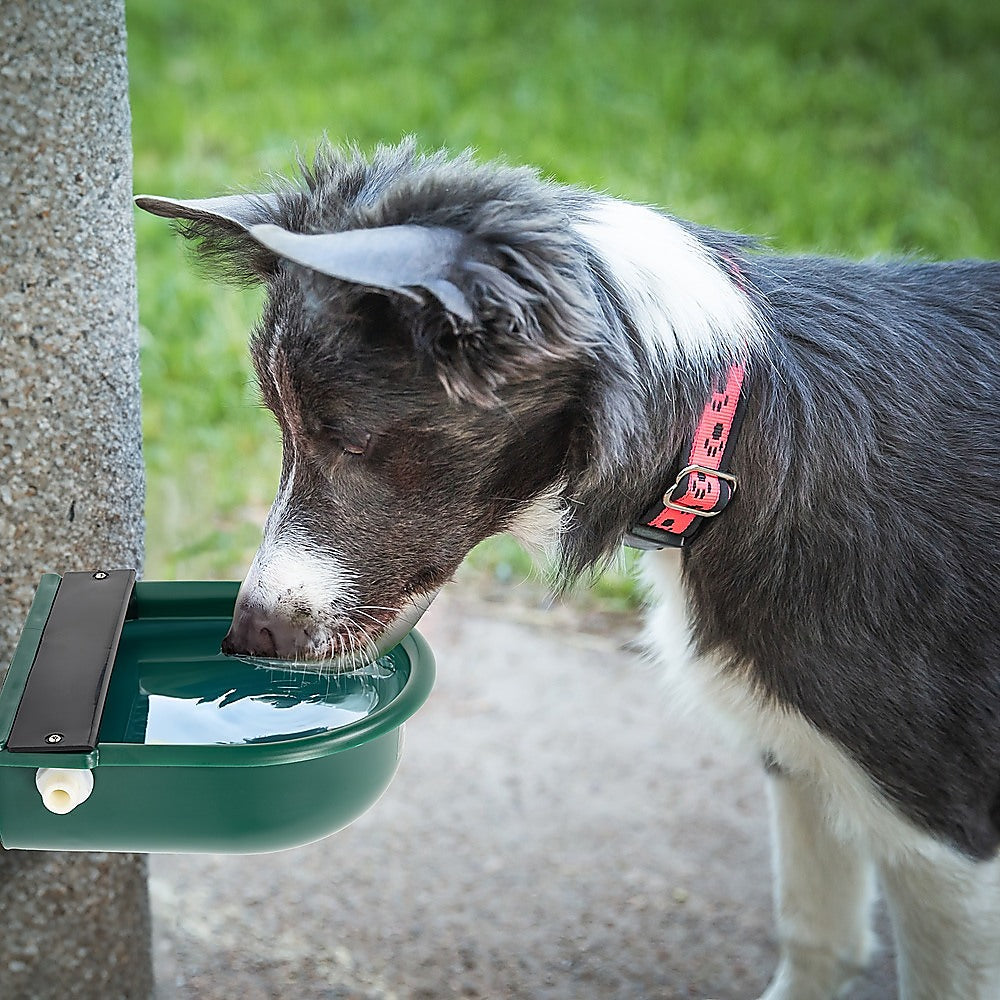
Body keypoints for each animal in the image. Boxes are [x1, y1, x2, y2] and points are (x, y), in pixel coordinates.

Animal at [139, 141, 1000, 1000]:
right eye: (280, 427)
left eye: (346, 439)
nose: (245, 637)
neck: (733, 433)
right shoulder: (800, 752)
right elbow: (818, 937)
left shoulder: (942, 838)